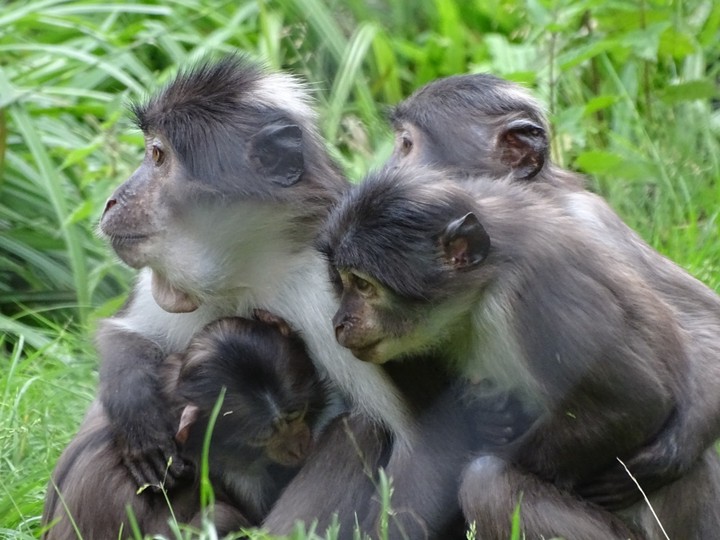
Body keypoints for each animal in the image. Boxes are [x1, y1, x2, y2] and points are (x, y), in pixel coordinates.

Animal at [318, 165, 720, 539]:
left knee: (486, 480)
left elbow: (637, 400)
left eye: (364, 286)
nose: (339, 322)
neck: (486, 279)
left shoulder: (537, 289)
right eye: (343, 281)